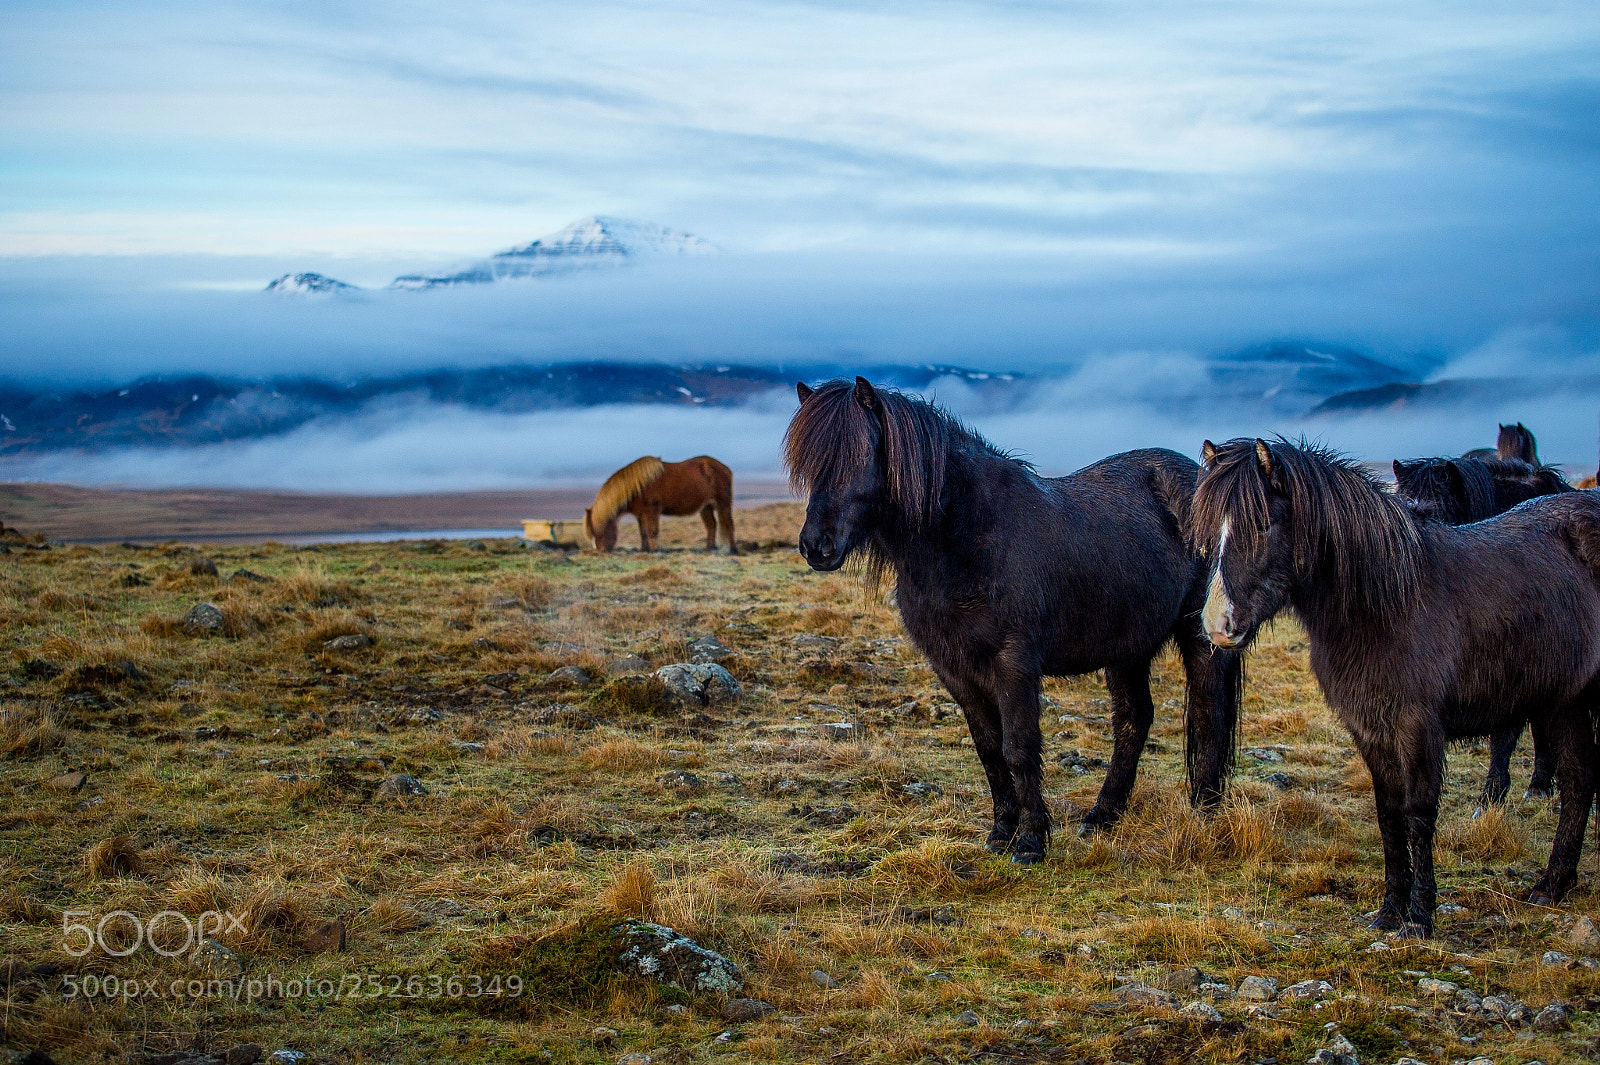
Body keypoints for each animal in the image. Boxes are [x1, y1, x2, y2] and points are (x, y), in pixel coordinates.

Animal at [584, 455, 738, 554]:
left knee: (728, 524)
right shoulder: (641, 515)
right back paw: (709, 548)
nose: (601, 551)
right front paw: (645, 549)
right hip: (706, 507)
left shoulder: (652, 511)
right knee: (711, 525)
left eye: (600, 530)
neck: (637, 487)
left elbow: (653, 531)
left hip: (723, 503)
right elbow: (643, 533)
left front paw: (655, 550)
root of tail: (725, 468)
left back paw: (733, 550)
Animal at [784, 377, 1243, 862]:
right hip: (1127, 647)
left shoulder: (1014, 662)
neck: (964, 537)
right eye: (810, 466)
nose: (816, 546)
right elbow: (989, 749)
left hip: (1202, 639)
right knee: (1133, 720)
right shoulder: (953, 667)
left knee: (1209, 717)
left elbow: (1019, 748)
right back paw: (1102, 815)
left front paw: (1031, 841)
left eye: (860, 455)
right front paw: (1001, 830)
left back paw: (1204, 814)